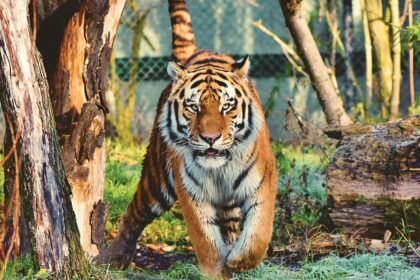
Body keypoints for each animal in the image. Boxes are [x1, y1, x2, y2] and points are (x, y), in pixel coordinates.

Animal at [97, 0, 278, 278]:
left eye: (226, 106)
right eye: (193, 107)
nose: (210, 138)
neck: (219, 170)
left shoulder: (263, 183)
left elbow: (258, 236)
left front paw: (238, 261)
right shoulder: (192, 194)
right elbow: (207, 244)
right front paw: (218, 270)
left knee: (230, 226)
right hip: (156, 181)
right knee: (133, 213)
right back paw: (115, 258)